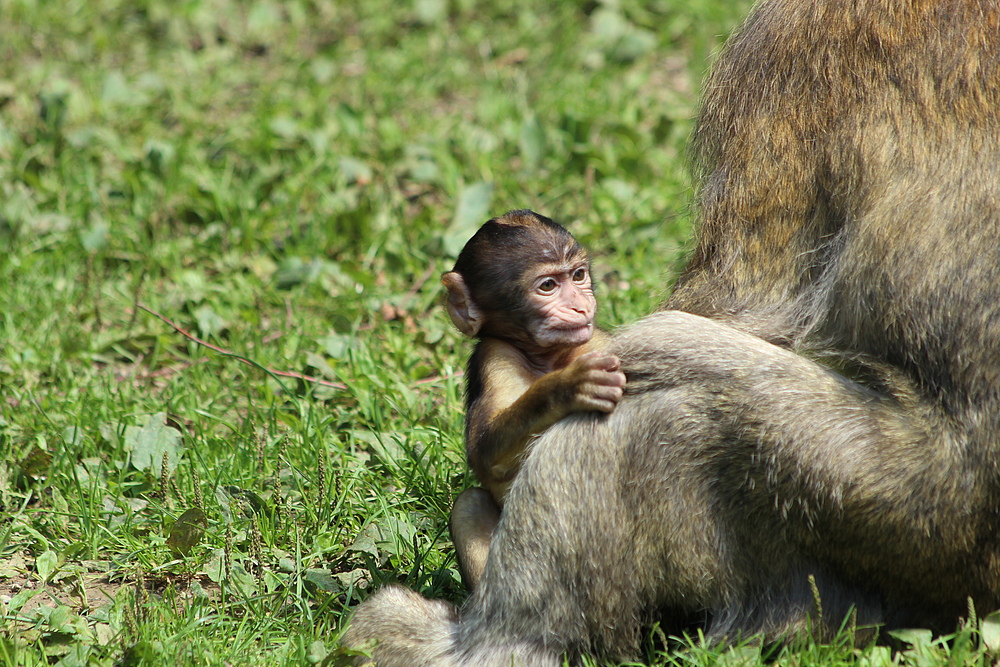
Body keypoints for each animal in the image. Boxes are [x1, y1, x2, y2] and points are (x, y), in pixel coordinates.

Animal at [440, 209, 620, 588]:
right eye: (547, 286)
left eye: (578, 275)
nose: (581, 307)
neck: (548, 358)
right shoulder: (495, 356)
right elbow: (482, 452)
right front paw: (567, 386)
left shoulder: (597, 342)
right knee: (470, 503)